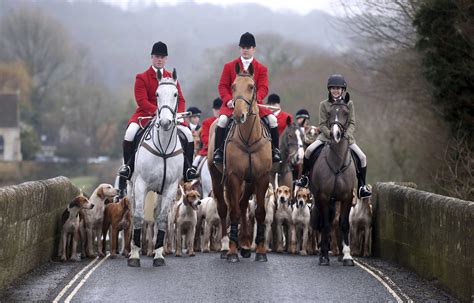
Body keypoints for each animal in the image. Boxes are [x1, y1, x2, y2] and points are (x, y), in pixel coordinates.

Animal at [128, 69, 183, 268]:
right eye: (157, 94)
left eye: (175, 94)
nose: (166, 122)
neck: (164, 148)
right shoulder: (141, 184)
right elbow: (138, 216)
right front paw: (134, 255)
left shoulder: (170, 188)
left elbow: (161, 219)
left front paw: (158, 255)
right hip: (132, 187)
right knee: (133, 214)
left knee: (156, 213)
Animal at [206, 62, 270, 264]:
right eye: (233, 87)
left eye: (251, 86)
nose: (238, 115)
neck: (249, 138)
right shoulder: (233, 177)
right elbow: (232, 212)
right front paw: (233, 252)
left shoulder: (262, 177)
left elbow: (259, 212)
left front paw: (260, 251)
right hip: (217, 177)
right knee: (224, 208)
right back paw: (227, 246)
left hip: (248, 182)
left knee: (242, 205)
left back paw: (246, 244)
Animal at [312, 100, 356, 266]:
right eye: (330, 113)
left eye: (346, 112)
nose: (336, 134)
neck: (337, 163)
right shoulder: (323, 196)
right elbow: (325, 224)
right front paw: (324, 256)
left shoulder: (347, 197)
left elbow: (344, 223)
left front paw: (347, 256)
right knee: (325, 223)